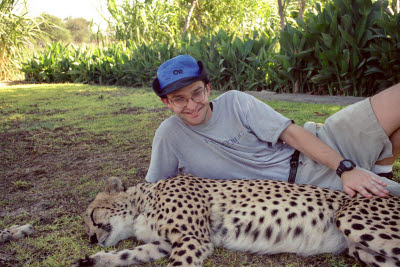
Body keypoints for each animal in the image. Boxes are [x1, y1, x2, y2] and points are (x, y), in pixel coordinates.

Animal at [76, 175, 400, 266]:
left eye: (91, 216)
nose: (91, 239)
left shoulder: (193, 239)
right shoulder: (165, 244)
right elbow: (129, 253)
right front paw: (94, 260)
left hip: (351, 218)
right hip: (360, 249)